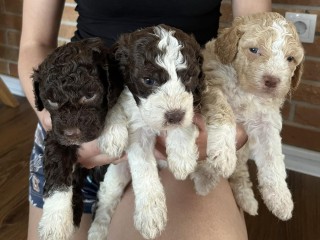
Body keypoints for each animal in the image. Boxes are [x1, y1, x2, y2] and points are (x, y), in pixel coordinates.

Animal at [88, 24, 202, 240]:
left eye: (189, 77)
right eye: (148, 80)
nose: (174, 115)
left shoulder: (192, 106)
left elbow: (185, 123)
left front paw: (182, 159)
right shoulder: (137, 131)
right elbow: (144, 169)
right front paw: (151, 214)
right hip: (116, 173)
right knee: (107, 198)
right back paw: (98, 229)